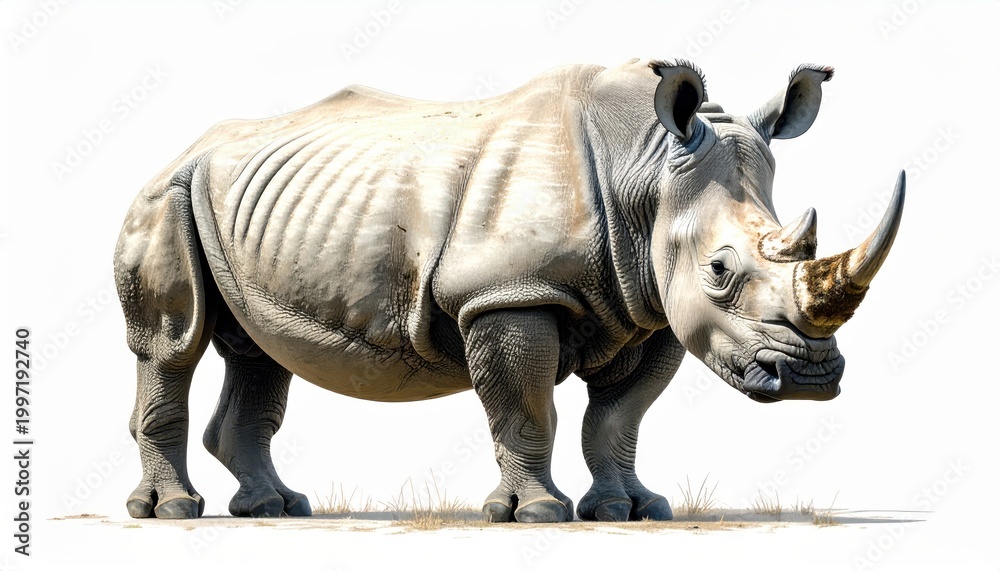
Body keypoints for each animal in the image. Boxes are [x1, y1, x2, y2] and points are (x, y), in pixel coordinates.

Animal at [114, 58, 904, 523]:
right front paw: (535, 513)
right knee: (172, 345)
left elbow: (617, 419)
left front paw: (635, 510)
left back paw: (276, 508)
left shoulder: (652, 309)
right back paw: (173, 510)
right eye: (720, 270)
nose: (811, 377)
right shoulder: (507, 293)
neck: (644, 169)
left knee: (258, 352)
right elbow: (525, 409)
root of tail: (182, 149)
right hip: (166, 197)